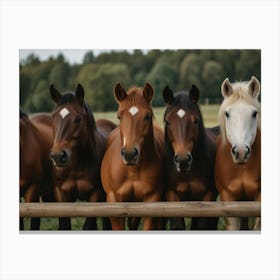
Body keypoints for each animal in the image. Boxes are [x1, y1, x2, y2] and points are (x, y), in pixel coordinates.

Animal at [49, 83, 116, 230]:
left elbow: (89, 226)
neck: (76, 166)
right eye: (53, 117)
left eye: (78, 119)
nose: (57, 155)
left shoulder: (95, 196)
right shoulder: (61, 196)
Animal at [101, 82, 165, 230]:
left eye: (147, 116)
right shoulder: (114, 202)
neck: (132, 171)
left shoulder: (152, 201)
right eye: (119, 116)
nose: (130, 154)